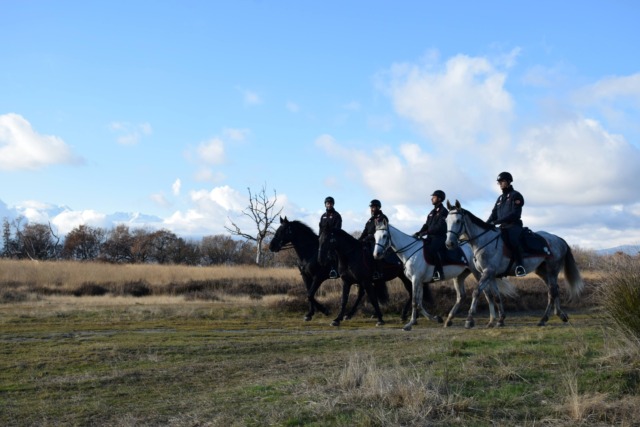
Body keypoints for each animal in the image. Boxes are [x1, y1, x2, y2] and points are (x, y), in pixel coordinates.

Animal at [269, 217, 415, 323]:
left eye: (282, 231)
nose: (271, 246)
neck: (311, 252)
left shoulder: (318, 277)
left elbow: (310, 294)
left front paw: (325, 311)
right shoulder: (306, 276)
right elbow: (309, 294)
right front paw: (310, 314)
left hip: (402, 276)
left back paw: (404, 315)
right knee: (362, 294)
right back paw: (350, 315)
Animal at [373, 219, 516, 331]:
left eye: (384, 236)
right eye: (374, 236)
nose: (376, 254)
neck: (411, 251)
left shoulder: (416, 279)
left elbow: (414, 301)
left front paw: (409, 324)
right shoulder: (419, 281)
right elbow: (419, 302)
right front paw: (435, 318)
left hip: (478, 273)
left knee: (486, 293)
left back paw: (488, 320)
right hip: (460, 276)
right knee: (462, 296)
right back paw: (451, 320)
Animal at [445, 200, 585, 328]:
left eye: (458, 221)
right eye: (446, 221)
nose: (449, 244)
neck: (484, 241)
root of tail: (558, 239)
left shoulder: (488, 272)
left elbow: (476, 292)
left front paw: (469, 320)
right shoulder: (491, 275)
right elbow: (496, 296)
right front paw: (500, 320)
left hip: (552, 271)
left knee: (552, 292)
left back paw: (543, 319)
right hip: (543, 272)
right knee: (555, 290)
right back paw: (560, 314)